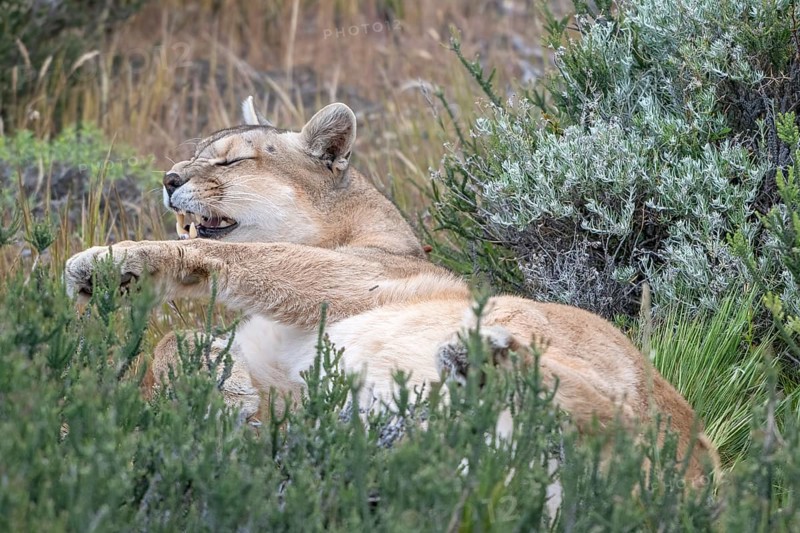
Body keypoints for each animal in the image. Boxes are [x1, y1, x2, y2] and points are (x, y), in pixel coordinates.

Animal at [64, 97, 720, 488]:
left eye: (229, 162)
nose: (169, 179)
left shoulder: (345, 281)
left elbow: (241, 258)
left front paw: (108, 262)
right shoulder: (272, 355)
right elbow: (171, 344)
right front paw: (230, 406)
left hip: (562, 337)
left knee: (613, 418)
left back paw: (484, 359)